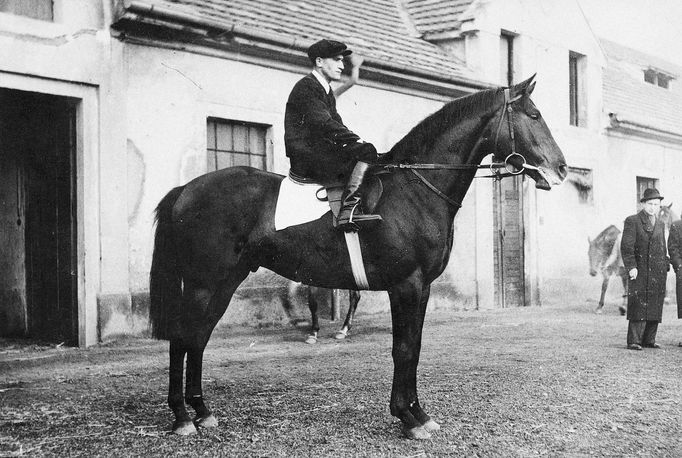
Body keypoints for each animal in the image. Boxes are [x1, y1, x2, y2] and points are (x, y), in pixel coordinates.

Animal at [151, 75, 564, 440]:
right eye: (534, 115)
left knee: (198, 338)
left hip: (224, 283)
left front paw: (418, 414)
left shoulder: (422, 288)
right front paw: (407, 417)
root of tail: (186, 189)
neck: (414, 189)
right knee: (182, 338)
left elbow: (414, 348)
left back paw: (202, 412)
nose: (560, 168)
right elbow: (403, 349)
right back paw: (182, 417)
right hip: (204, 284)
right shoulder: (406, 286)